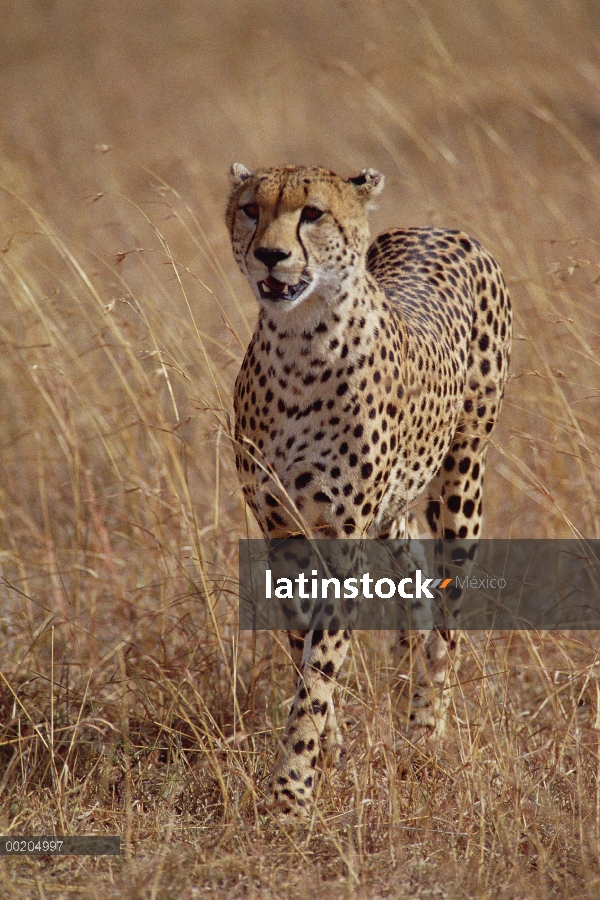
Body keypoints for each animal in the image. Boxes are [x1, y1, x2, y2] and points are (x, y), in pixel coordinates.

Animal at [225, 162, 510, 816]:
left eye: (312, 213)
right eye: (252, 208)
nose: (271, 255)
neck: (299, 343)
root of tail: (440, 227)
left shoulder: (343, 536)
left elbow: (320, 664)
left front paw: (291, 795)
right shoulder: (281, 529)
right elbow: (302, 643)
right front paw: (330, 750)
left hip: (462, 483)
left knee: (447, 625)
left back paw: (424, 732)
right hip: (394, 511)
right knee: (414, 579)